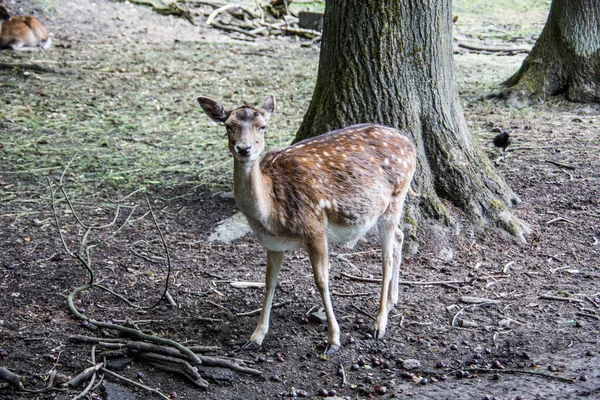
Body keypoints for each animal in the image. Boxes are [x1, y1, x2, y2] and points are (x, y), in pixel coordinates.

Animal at [198, 94, 418, 356]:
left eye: (263, 126)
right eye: (228, 126)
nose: (244, 148)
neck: (271, 213)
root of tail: (410, 141)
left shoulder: (315, 228)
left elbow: (322, 281)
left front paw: (333, 340)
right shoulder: (273, 244)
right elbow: (269, 282)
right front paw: (255, 337)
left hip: (396, 197)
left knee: (386, 257)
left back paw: (379, 323)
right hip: (380, 211)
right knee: (399, 237)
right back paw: (393, 300)